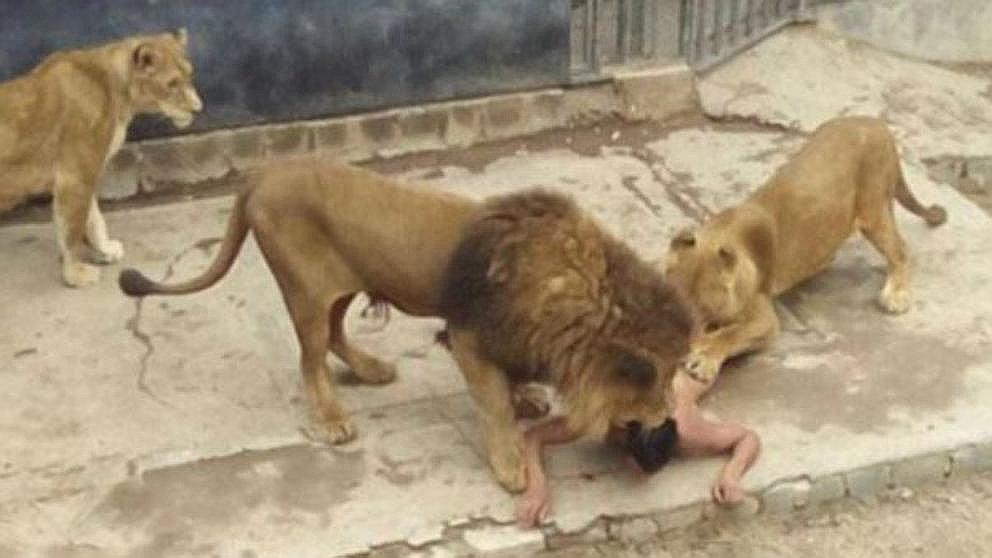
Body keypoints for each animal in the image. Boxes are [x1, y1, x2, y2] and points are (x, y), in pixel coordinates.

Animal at [0, 30, 202, 287]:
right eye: (172, 84)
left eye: (189, 76)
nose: (198, 109)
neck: (119, 91)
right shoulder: (75, 176)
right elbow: (73, 229)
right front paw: (75, 274)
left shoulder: (86, 172)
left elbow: (94, 219)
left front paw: (105, 250)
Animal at [438, 190, 698, 491]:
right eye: (663, 379)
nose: (671, 412)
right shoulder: (469, 335)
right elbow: (495, 403)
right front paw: (511, 466)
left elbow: (511, 381)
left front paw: (526, 400)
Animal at [664, 116, 947, 384]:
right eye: (674, 298)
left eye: (704, 305)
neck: (718, 235)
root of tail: (878, 124)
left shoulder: (765, 318)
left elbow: (730, 334)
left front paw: (704, 357)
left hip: (873, 209)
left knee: (900, 250)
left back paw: (896, 294)